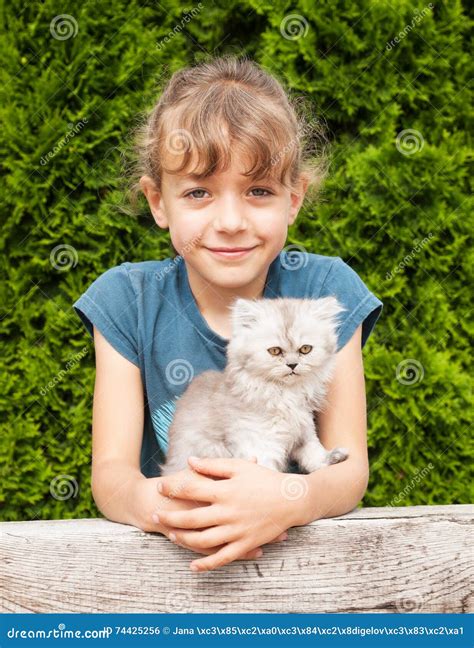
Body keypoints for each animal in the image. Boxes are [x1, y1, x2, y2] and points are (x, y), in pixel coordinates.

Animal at [159, 298, 348, 476]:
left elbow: (315, 455)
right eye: (275, 351)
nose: (292, 365)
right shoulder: (260, 445)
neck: (284, 394)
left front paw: (333, 458)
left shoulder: (304, 433)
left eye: (305, 349)